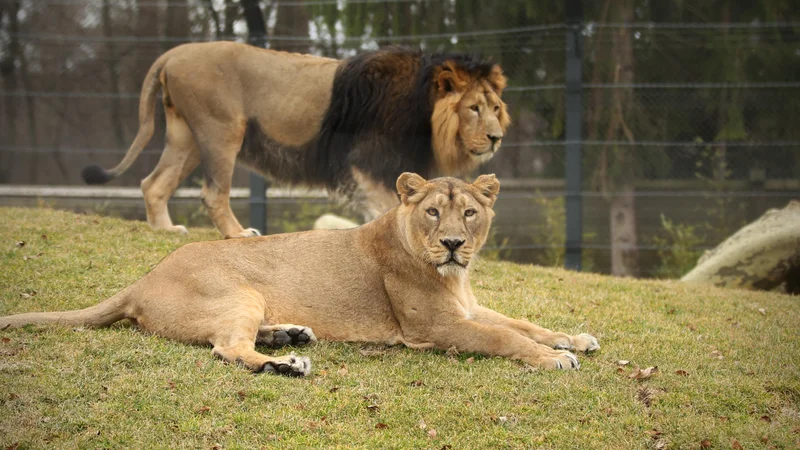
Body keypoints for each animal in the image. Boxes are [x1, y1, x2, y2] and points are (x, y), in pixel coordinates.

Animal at [0, 174, 596, 374]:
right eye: (433, 212)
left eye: (469, 213)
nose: (453, 244)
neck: (454, 277)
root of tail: (141, 279)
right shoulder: (436, 327)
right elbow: (504, 338)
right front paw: (554, 359)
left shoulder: (468, 307)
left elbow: (523, 323)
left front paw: (574, 338)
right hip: (237, 292)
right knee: (227, 349)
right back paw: (286, 363)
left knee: (234, 339)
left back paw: (289, 334)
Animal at [83, 42, 512, 239]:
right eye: (474, 108)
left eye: (495, 107)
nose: (496, 138)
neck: (423, 109)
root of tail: (174, 52)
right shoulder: (367, 160)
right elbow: (386, 206)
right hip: (221, 131)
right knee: (213, 194)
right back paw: (238, 234)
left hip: (186, 136)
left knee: (153, 184)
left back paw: (165, 230)